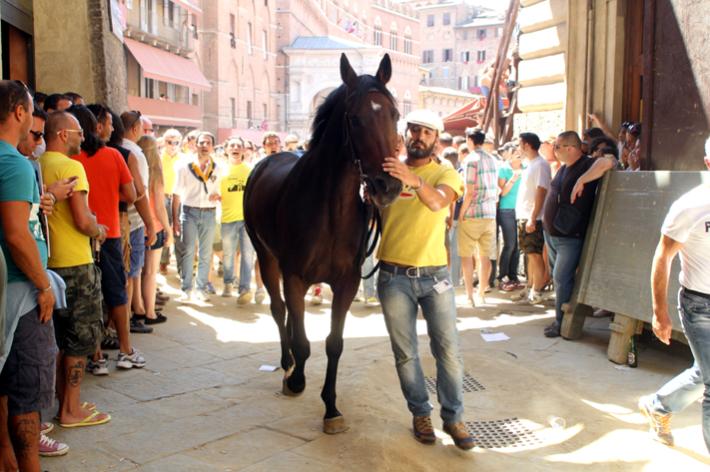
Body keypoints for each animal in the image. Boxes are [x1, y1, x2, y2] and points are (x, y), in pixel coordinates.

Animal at [243, 53, 400, 434]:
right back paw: (286, 363)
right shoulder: (295, 277)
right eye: (355, 118)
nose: (387, 186)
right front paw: (297, 380)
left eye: (394, 114)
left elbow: (334, 343)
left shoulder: (346, 283)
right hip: (265, 256)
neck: (330, 209)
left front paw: (331, 407)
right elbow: (302, 341)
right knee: (279, 309)